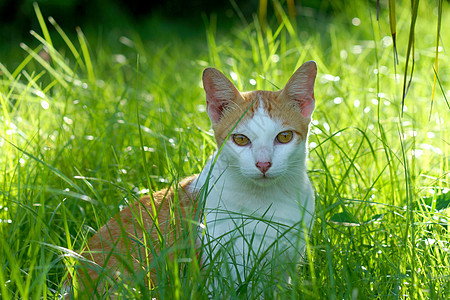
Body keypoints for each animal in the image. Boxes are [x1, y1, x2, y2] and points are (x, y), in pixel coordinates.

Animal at [74, 61, 318, 298]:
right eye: (240, 139)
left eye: (284, 137)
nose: (263, 164)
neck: (269, 200)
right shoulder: (219, 271)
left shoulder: (284, 266)